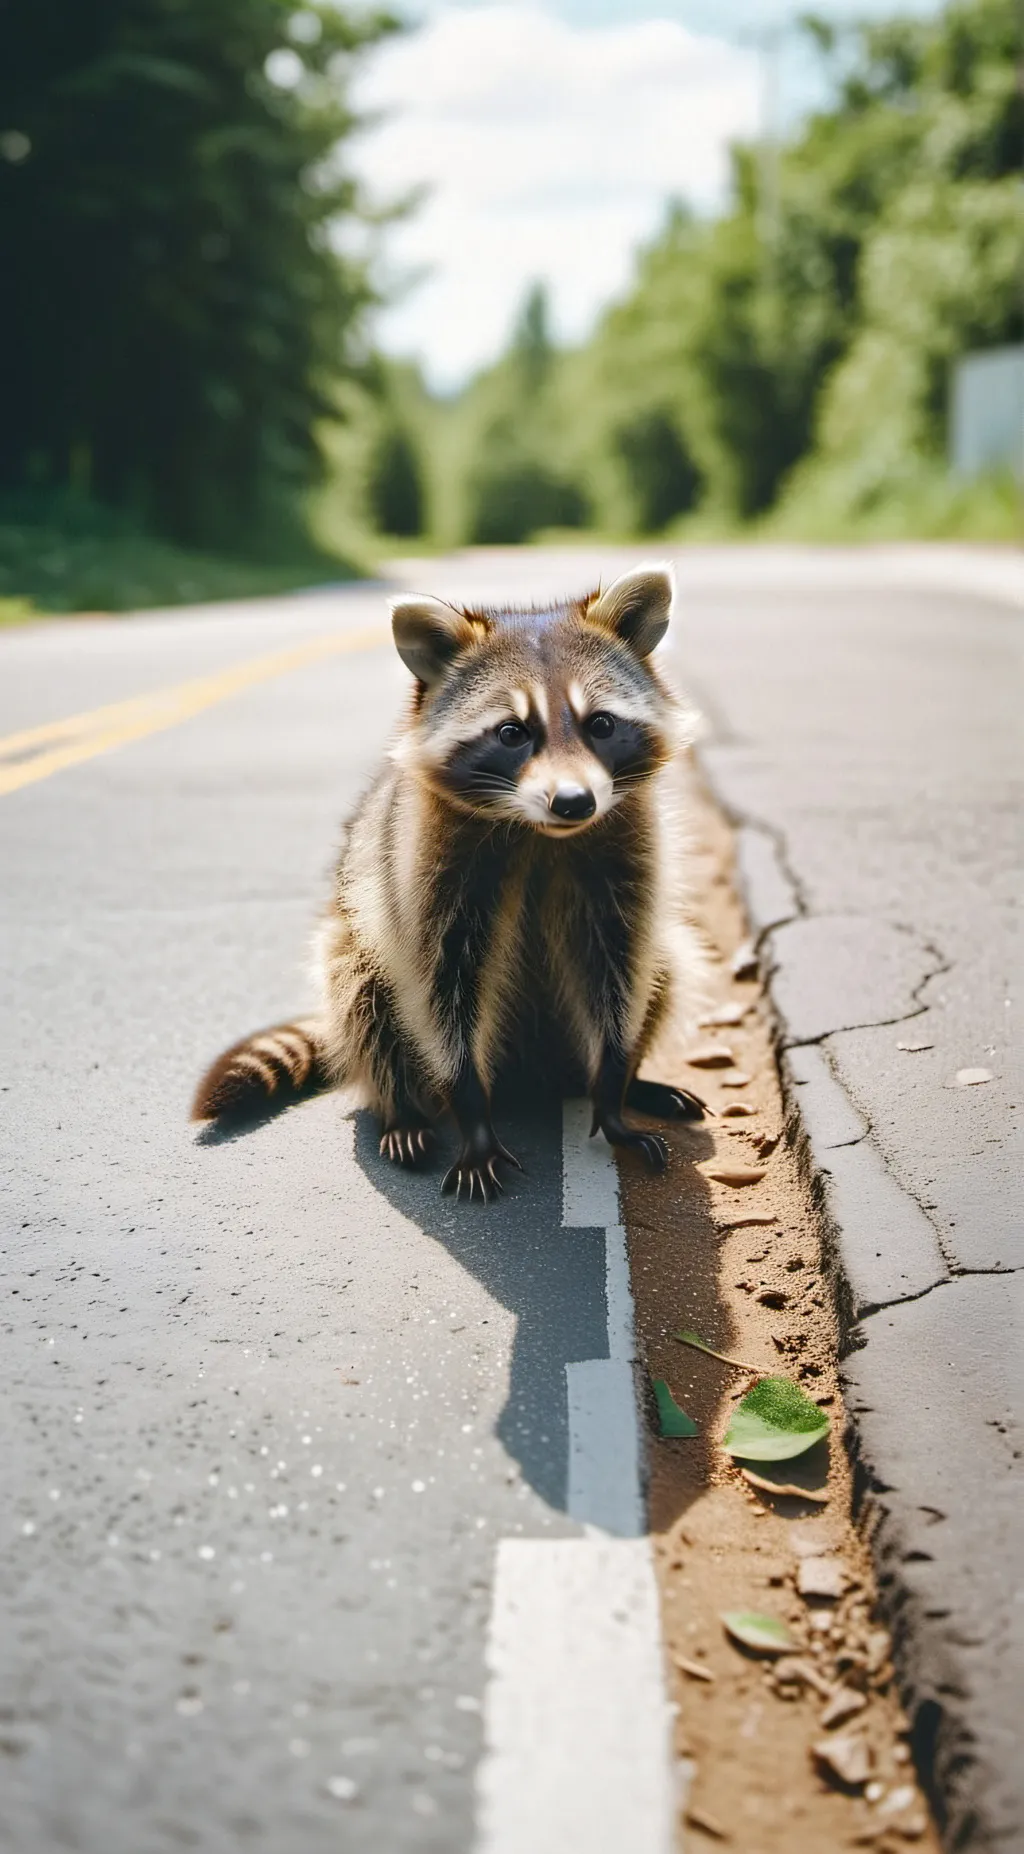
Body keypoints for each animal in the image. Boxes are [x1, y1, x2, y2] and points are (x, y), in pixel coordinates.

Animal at [192, 564, 708, 1201]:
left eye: (602, 724)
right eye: (512, 732)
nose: (574, 802)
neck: (540, 834)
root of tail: (537, 1078)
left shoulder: (624, 853)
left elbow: (621, 967)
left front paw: (613, 1087)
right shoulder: (423, 871)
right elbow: (440, 988)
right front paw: (470, 1113)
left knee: (667, 964)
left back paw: (631, 1081)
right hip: (358, 936)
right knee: (360, 988)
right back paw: (402, 1108)